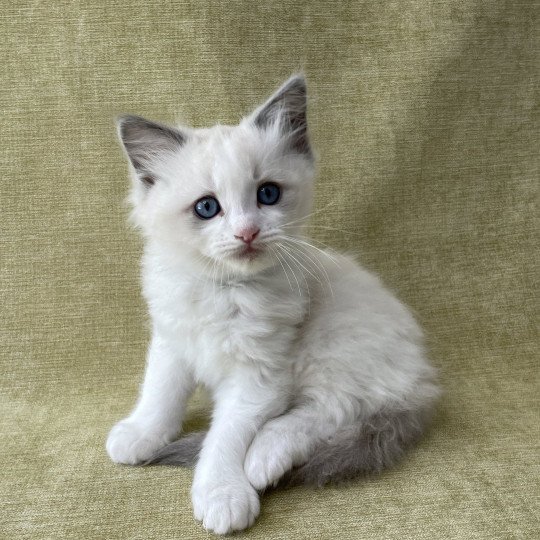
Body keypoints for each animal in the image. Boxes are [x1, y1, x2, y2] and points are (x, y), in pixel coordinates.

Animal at [105, 76, 438, 536]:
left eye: (268, 194)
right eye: (207, 207)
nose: (247, 232)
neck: (225, 290)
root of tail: (422, 379)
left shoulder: (259, 378)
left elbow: (223, 438)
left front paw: (222, 494)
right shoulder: (173, 341)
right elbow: (160, 393)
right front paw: (142, 433)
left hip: (334, 347)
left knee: (330, 411)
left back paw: (264, 459)